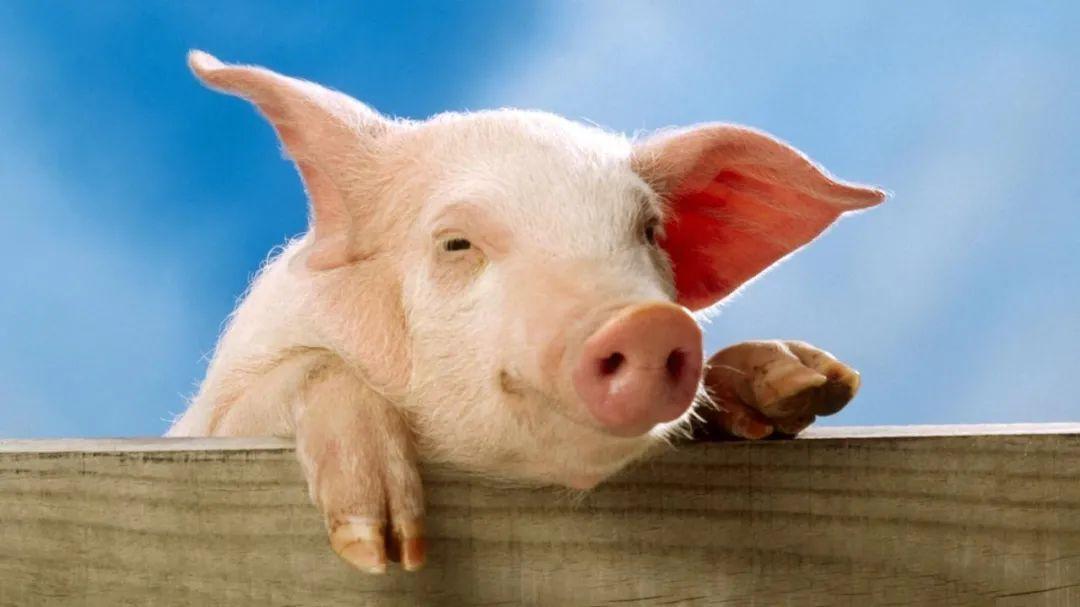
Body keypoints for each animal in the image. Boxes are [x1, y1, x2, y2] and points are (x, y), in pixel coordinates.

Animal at [168, 51, 885, 574]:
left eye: (649, 230)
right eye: (456, 243)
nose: (645, 322)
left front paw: (808, 380)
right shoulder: (210, 422)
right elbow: (309, 371)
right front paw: (382, 551)